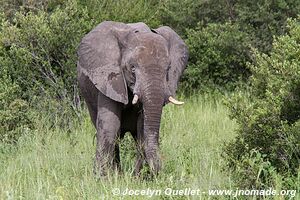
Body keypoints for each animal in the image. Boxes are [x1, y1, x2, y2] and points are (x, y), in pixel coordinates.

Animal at [77, 21, 189, 176]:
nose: (158, 171)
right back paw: (117, 174)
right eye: (133, 69)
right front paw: (102, 178)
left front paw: (138, 177)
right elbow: (110, 124)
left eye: (167, 70)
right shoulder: (109, 79)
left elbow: (143, 128)